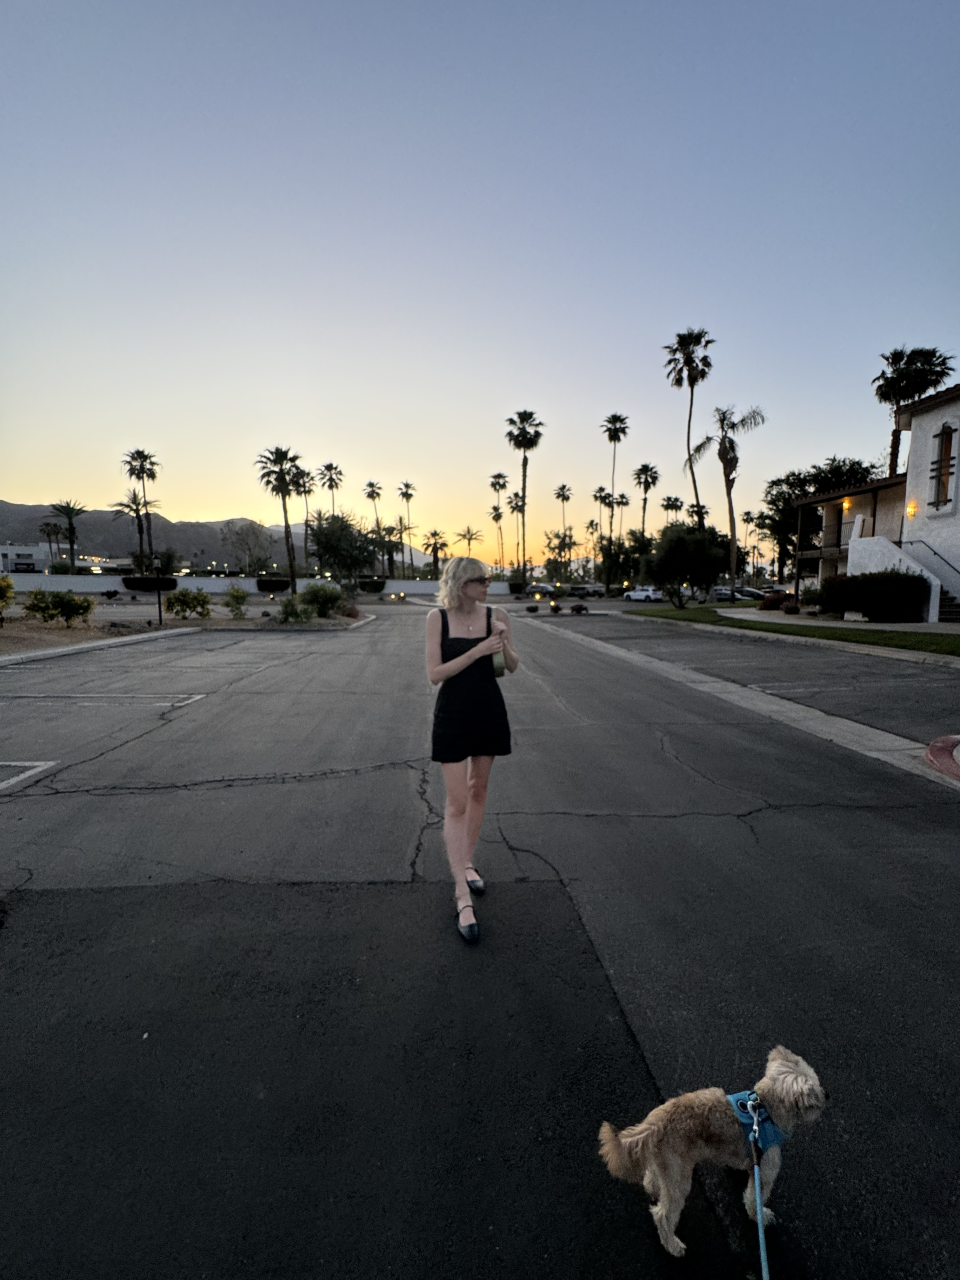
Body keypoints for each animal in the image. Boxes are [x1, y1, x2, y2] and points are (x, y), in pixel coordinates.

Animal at [601, 1044, 829, 1254]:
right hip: (679, 1178)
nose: (827, 1094)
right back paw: (673, 1246)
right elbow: (754, 1198)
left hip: (668, 1164)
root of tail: (655, 1123)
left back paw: (654, 1188)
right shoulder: (765, 1170)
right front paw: (760, 1217)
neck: (764, 1109)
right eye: (817, 1090)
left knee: (651, 1178)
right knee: (662, 1215)